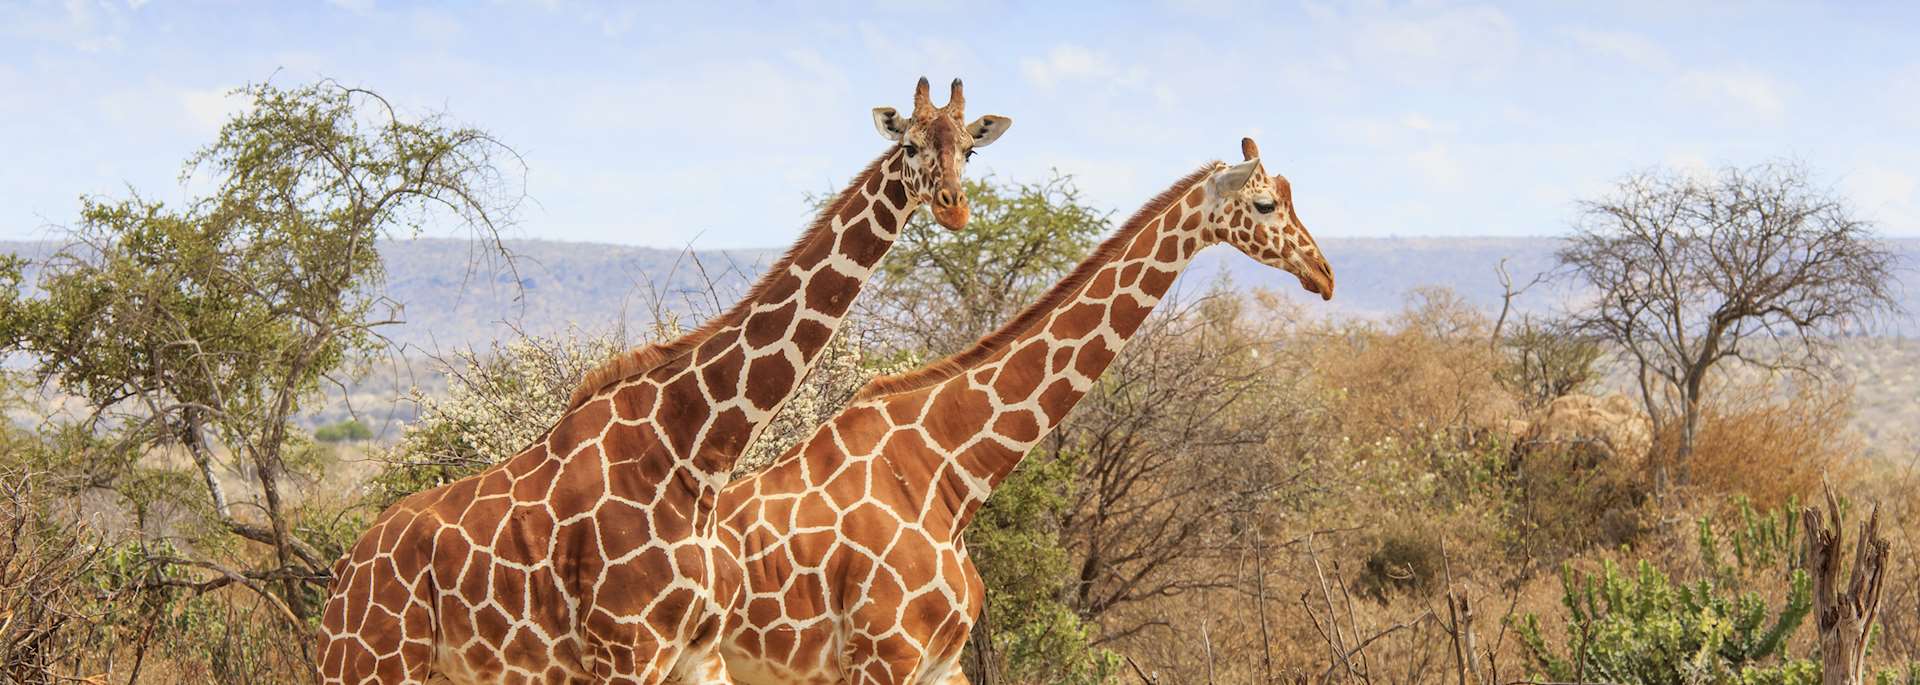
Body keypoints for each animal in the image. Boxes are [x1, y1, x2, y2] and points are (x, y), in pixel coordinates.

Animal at [316, 77, 1013, 685]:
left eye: (969, 149)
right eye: (910, 146)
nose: (953, 207)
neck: (696, 454)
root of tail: (342, 572)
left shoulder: (695, 652)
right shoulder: (628, 649)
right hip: (368, 665)